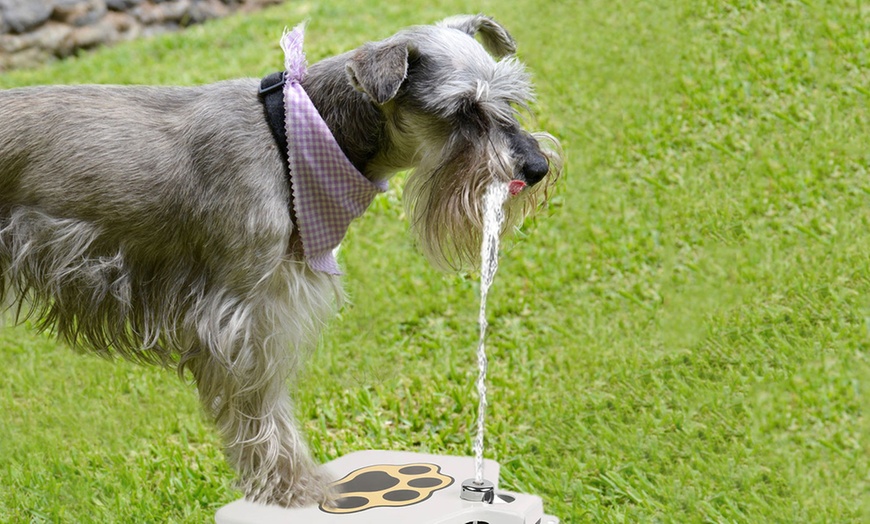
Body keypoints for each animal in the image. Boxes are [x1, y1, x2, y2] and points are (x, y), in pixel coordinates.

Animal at [0, 15, 564, 508]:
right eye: (464, 109)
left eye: (509, 98)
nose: (537, 167)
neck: (291, 139)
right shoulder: (241, 319)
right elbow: (262, 411)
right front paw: (297, 489)